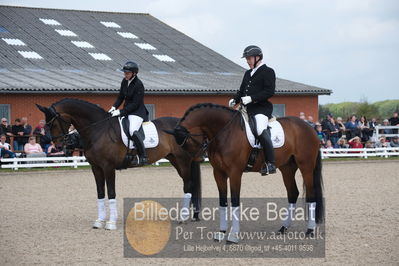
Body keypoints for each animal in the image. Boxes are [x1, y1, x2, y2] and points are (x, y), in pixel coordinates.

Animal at [36, 99, 203, 231]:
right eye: (47, 124)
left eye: (53, 123)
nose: (58, 146)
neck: (98, 130)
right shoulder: (96, 168)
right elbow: (100, 193)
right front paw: (99, 221)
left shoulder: (108, 167)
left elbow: (111, 193)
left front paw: (110, 223)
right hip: (175, 159)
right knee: (188, 184)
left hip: (182, 161)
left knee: (188, 184)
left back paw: (183, 217)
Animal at [167, 103, 324, 243]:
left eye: (186, 141)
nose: (197, 158)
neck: (225, 132)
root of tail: (310, 128)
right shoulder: (218, 173)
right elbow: (223, 202)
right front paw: (221, 233)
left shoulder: (235, 173)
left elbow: (235, 201)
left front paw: (233, 235)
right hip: (287, 168)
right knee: (293, 193)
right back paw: (283, 228)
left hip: (306, 166)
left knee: (311, 195)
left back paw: (310, 230)